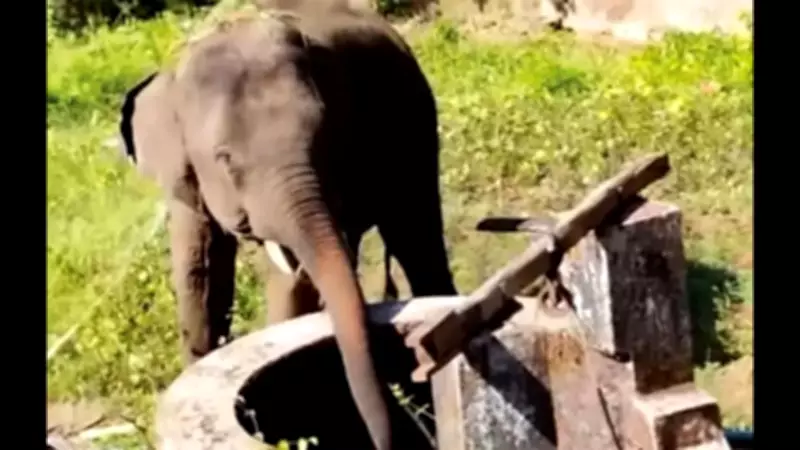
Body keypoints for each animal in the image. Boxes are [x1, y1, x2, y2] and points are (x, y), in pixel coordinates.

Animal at [117, 8, 456, 449]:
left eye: (328, 136)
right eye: (224, 159)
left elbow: (295, 279)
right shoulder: (183, 176)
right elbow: (198, 271)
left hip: (415, 119)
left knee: (415, 235)